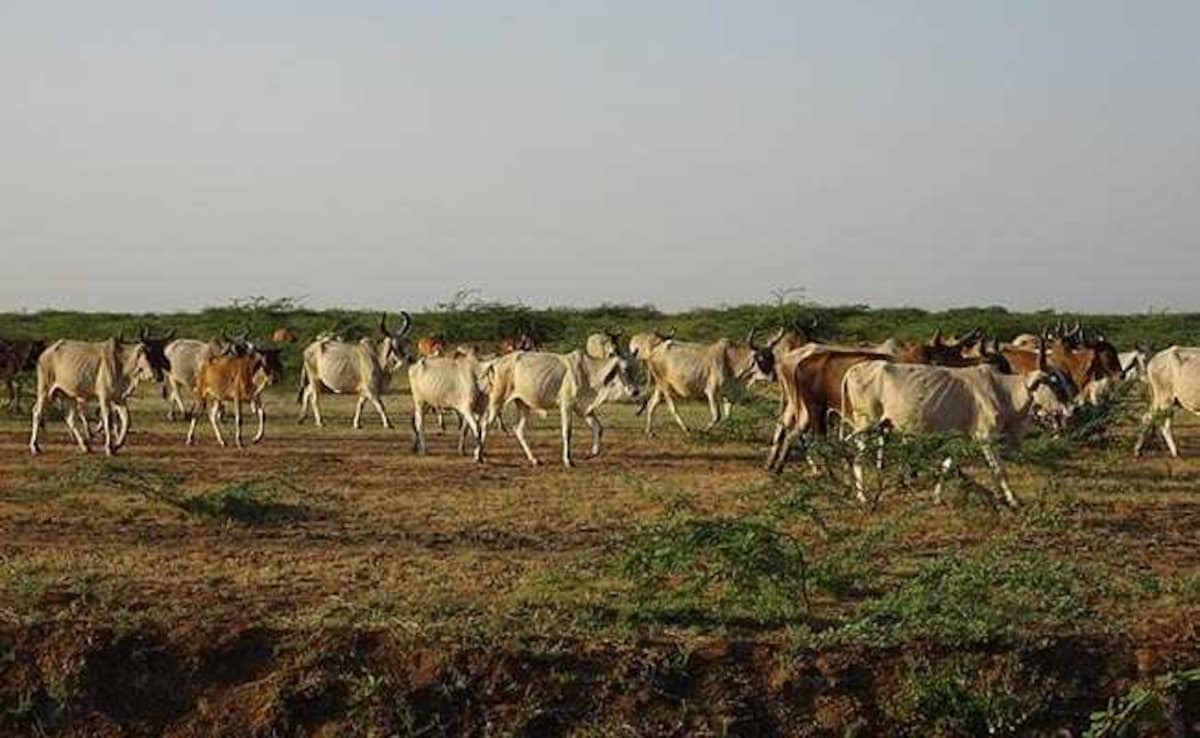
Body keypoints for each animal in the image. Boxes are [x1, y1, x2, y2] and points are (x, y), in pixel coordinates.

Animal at [29, 329, 173, 456]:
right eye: (148, 354)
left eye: (160, 353)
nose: (159, 376)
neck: (122, 364)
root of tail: (45, 353)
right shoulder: (104, 398)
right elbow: (107, 421)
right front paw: (109, 448)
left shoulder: (119, 399)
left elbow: (127, 421)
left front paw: (117, 445)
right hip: (45, 391)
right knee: (37, 412)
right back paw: (35, 447)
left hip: (69, 396)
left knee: (69, 418)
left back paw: (85, 447)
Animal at [481, 351, 639, 467]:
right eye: (625, 369)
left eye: (636, 369)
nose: (636, 391)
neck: (589, 372)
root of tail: (497, 361)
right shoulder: (566, 405)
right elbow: (567, 432)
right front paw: (568, 460)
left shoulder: (583, 409)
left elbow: (599, 428)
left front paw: (591, 453)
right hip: (497, 400)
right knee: (485, 424)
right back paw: (479, 456)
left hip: (524, 405)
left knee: (518, 429)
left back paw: (534, 459)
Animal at [841, 343, 1075, 507]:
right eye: (1054, 384)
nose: (1070, 410)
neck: (1003, 390)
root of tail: (854, 370)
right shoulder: (986, 438)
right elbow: (999, 470)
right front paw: (1013, 500)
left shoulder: (960, 437)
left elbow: (946, 466)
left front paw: (936, 497)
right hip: (866, 424)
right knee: (857, 456)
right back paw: (862, 496)